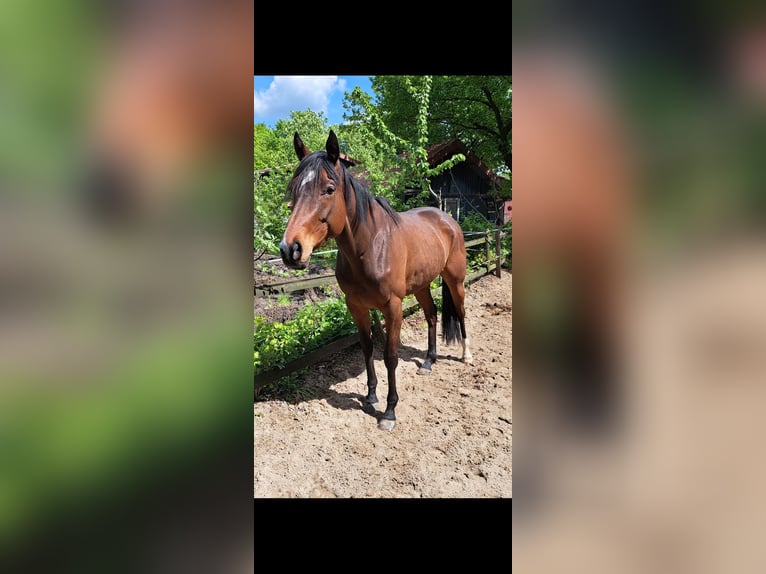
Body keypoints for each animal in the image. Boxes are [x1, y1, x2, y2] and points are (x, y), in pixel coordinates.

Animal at [280, 130, 472, 431]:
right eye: (295, 188)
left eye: (329, 189)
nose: (290, 249)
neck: (370, 247)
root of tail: (447, 219)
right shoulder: (356, 306)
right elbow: (368, 348)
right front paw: (371, 395)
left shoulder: (393, 308)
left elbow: (390, 356)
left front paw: (390, 411)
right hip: (421, 286)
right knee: (431, 315)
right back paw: (428, 361)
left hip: (455, 280)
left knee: (461, 312)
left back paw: (466, 354)